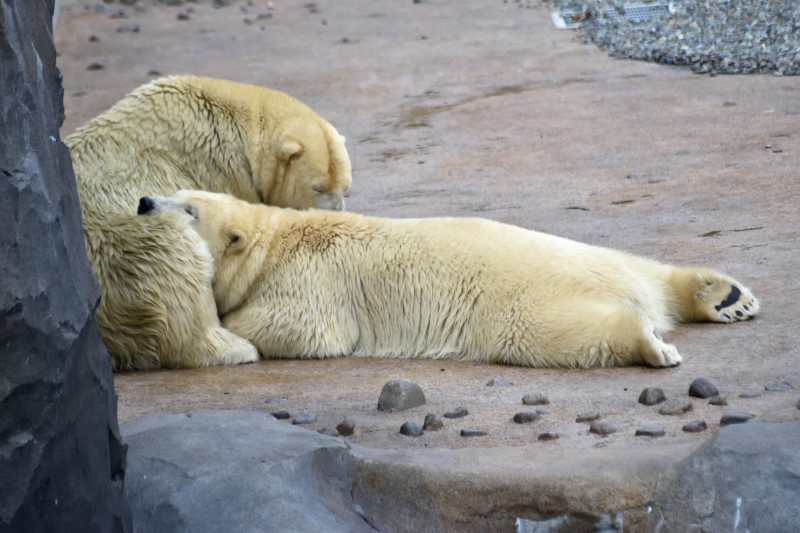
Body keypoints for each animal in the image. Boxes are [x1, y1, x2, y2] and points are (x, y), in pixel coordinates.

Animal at [69, 75, 354, 370]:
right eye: (318, 188)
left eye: (345, 187)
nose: (337, 211)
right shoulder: (217, 170)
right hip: (139, 248)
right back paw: (237, 347)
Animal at [139, 189, 764, 368]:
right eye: (168, 188)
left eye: (187, 208)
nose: (143, 202)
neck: (275, 239)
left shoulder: (311, 279)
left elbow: (304, 330)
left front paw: (231, 329)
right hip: (597, 254)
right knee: (649, 268)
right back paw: (725, 295)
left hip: (522, 302)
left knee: (559, 333)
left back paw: (652, 345)